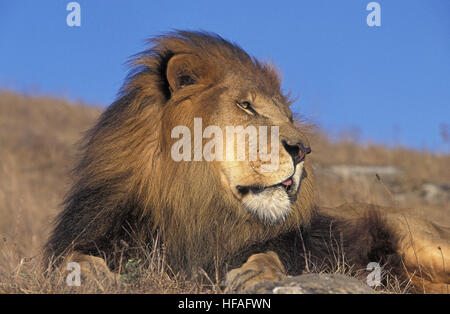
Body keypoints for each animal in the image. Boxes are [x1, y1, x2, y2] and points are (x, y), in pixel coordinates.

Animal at [44, 30, 448, 294]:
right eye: (247, 106)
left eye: (288, 116)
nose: (303, 150)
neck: (197, 207)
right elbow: (69, 260)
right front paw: (93, 276)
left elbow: (269, 255)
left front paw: (254, 275)